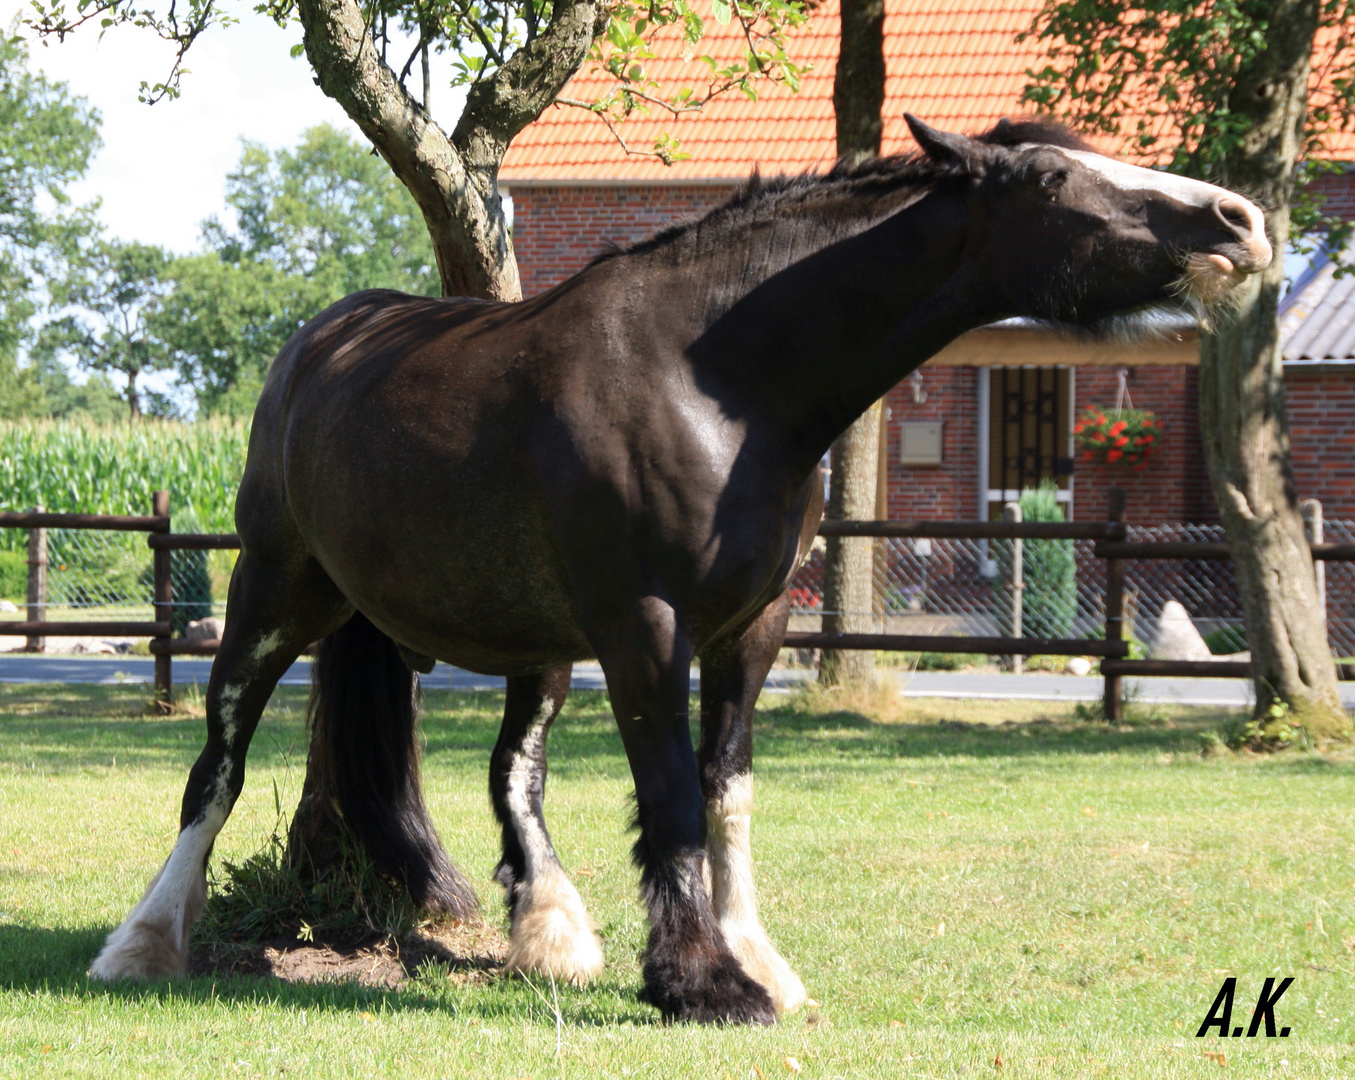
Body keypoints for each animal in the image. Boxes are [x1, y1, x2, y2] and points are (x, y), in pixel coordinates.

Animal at [92, 115, 1268, 1019]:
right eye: (1051, 178)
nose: (1237, 221)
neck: (720, 381)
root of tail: (320, 343)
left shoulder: (753, 629)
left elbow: (726, 793)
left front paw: (755, 962)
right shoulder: (644, 627)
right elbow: (669, 799)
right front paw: (703, 983)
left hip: (533, 644)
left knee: (511, 773)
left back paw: (553, 932)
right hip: (274, 597)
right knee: (216, 764)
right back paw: (144, 942)